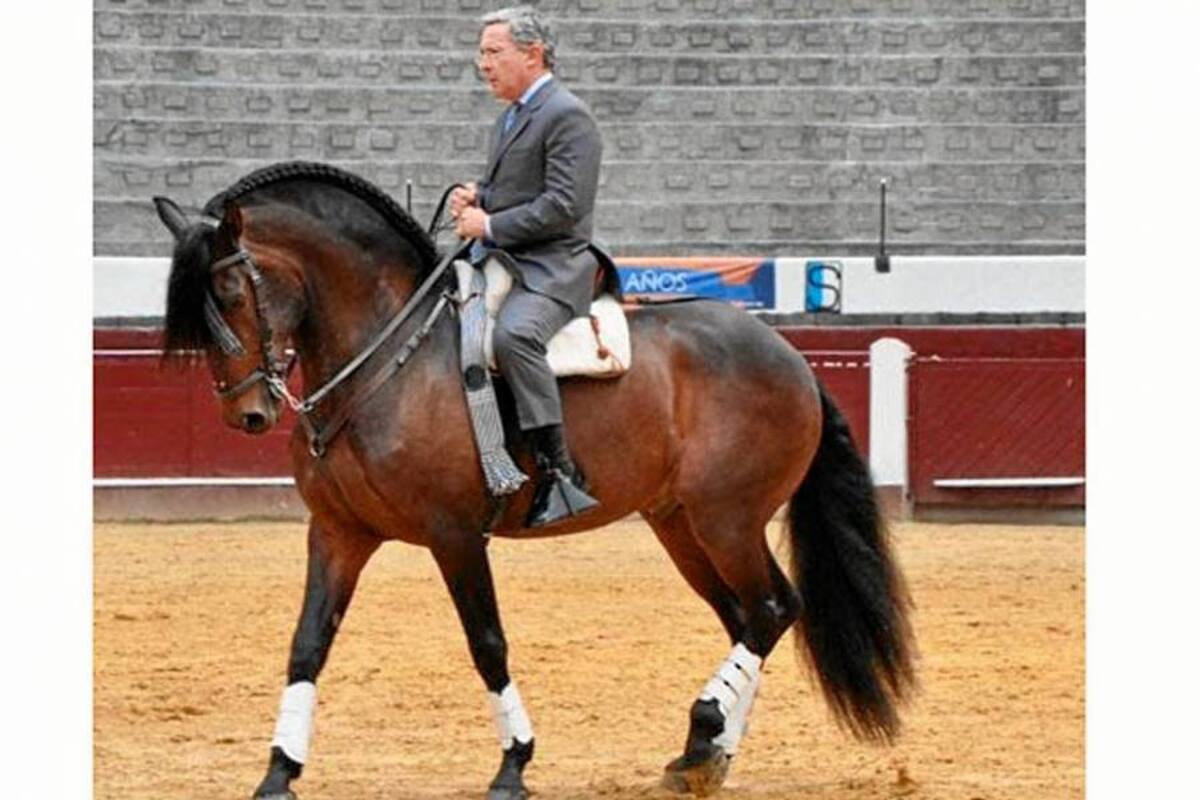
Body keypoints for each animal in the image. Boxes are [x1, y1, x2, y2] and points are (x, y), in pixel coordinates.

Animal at [153, 161, 916, 800]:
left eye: (229, 289)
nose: (248, 413)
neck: (388, 360)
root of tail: (792, 358)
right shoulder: (338, 533)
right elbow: (307, 644)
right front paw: (279, 771)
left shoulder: (455, 536)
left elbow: (487, 642)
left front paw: (514, 763)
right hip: (680, 525)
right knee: (747, 618)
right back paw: (707, 754)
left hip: (726, 518)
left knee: (774, 608)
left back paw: (706, 733)